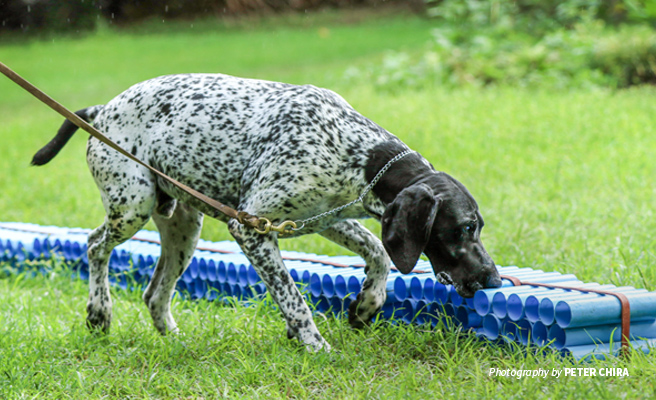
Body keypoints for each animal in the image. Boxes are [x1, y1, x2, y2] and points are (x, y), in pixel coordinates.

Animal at [32, 73, 502, 352]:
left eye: (476, 227)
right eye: (464, 228)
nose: (493, 279)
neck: (357, 152)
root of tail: (102, 110)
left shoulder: (326, 218)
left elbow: (378, 252)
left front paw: (366, 305)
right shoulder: (251, 227)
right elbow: (294, 299)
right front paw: (313, 344)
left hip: (183, 227)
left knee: (154, 293)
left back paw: (174, 340)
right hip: (133, 207)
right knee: (95, 246)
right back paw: (99, 312)